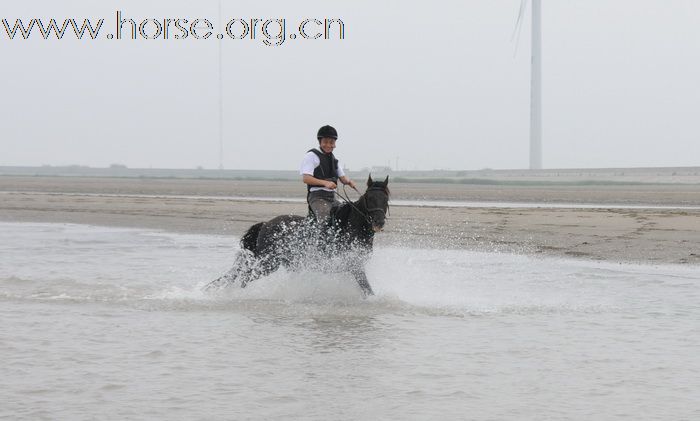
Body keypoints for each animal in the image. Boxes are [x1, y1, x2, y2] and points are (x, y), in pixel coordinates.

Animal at [204, 174, 388, 296]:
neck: (350, 226)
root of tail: (265, 224)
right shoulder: (353, 265)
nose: (378, 223)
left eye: (385, 199)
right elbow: (367, 288)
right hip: (268, 263)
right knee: (245, 278)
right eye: (369, 198)